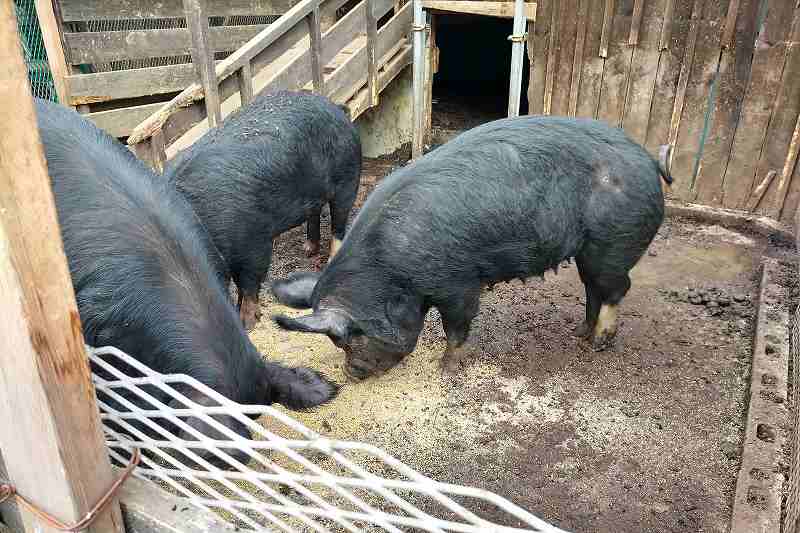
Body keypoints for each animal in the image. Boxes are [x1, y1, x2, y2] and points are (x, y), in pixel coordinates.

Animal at [164, 90, 360, 330]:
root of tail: (337, 109)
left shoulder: (254, 240)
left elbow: (249, 282)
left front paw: (247, 323)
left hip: (348, 179)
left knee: (339, 223)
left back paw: (330, 259)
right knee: (314, 212)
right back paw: (307, 250)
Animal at [272, 116, 672, 378]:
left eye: (348, 339)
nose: (351, 375)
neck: (391, 271)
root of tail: (650, 161)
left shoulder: (458, 282)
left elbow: (457, 326)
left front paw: (446, 368)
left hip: (614, 242)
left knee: (616, 289)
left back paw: (598, 343)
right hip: (591, 251)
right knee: (593, 289)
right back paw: (579, 335)